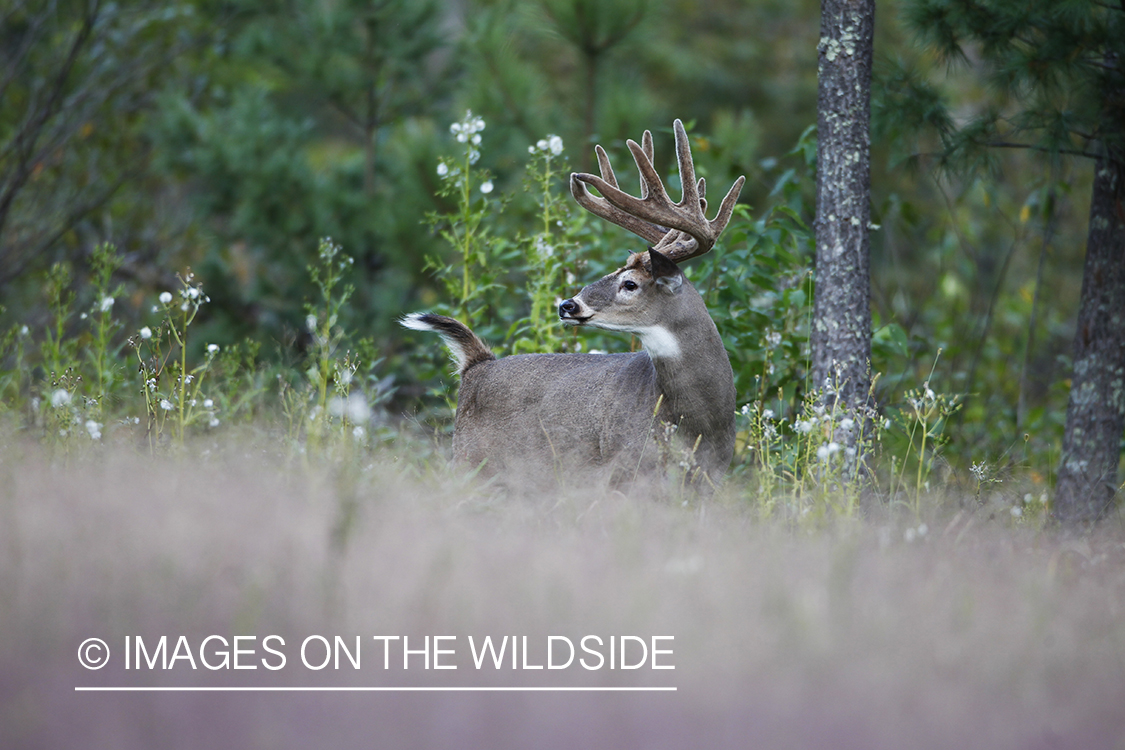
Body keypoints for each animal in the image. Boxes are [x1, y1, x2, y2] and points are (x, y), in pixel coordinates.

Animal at [405, 118, 747, 492]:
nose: (567, 305)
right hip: (471, 461)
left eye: (630, 284)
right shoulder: (622, 469)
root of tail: (477, 366)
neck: (700, 420)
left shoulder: (710, 479)